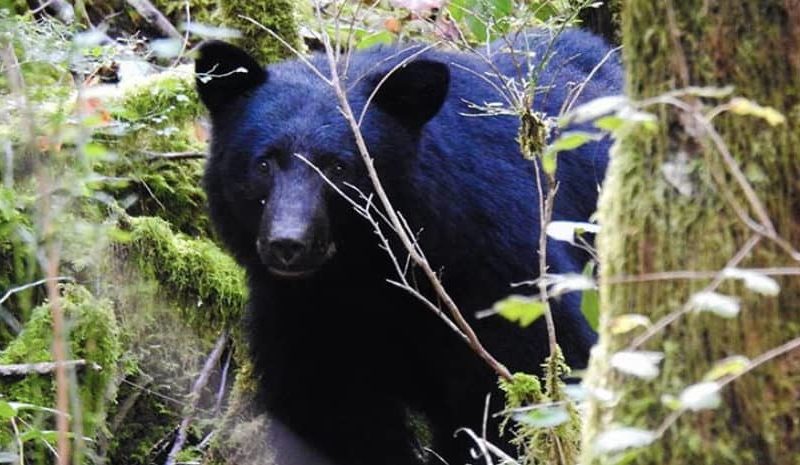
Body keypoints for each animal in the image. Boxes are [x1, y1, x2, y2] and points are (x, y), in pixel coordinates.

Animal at [195, 29, 622, 465]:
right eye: (264, 163)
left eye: (338, 167)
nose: (287, 244)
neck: (360, 271)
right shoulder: (301, 313)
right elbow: (330, 411)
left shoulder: (496, 267)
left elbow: (529, 375)